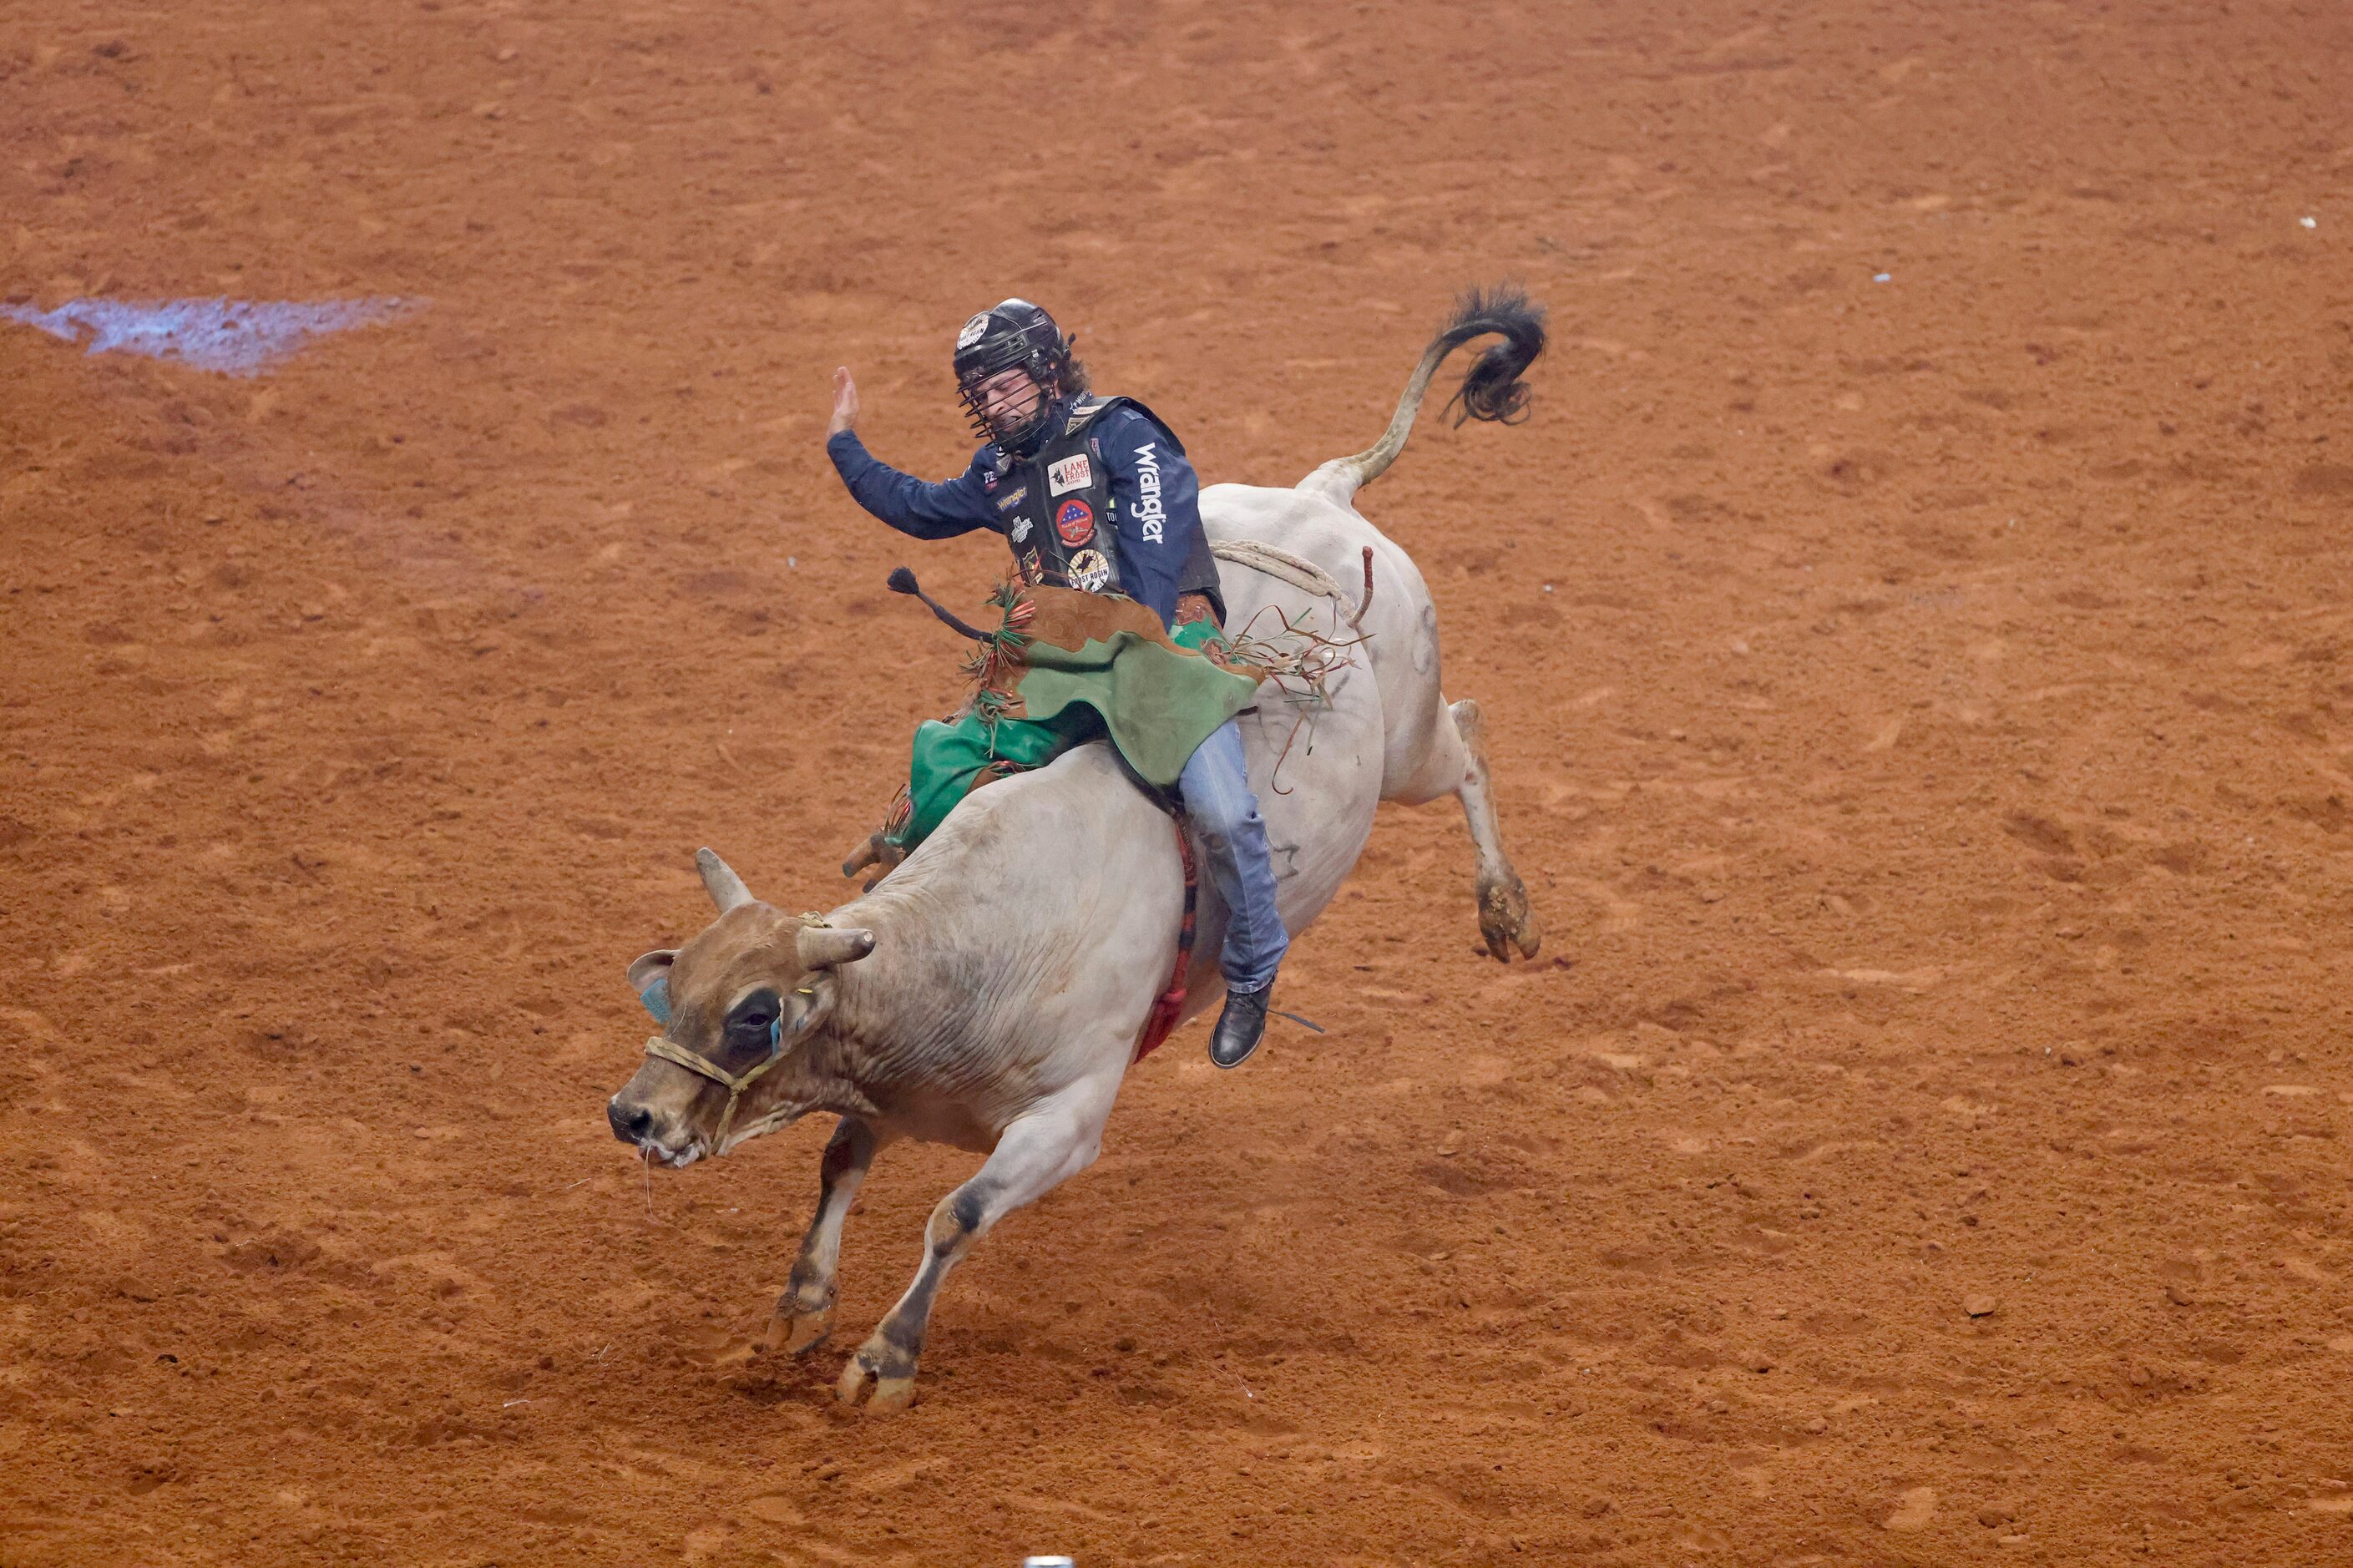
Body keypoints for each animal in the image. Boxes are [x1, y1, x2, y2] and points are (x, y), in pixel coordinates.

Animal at [607, 289, 1552, 1403]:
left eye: (755, 1016)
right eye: (674, 985)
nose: (633, 1115)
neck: (976, 950)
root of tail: (1326, 496)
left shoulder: (1067, 1121)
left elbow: (956, 1216)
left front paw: (886, 1358)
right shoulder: (886, 1084)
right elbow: (841, 1160)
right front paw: (801, 1306)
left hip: (1408, 741)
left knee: (1472, 739)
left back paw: (1505, 910)